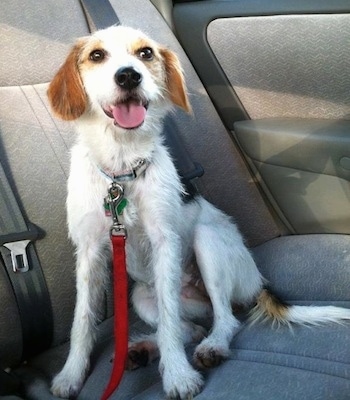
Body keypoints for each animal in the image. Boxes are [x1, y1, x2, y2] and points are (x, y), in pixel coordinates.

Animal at [47, 25, 348, 400]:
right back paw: (143, 349)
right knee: (190, 327)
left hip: (208, 244)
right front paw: (71, 374)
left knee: (222, 320)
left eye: (146, 53)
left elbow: (170, 323)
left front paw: (178, 375)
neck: (121, 171)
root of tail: (259, 283)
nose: (129, 76)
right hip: (141, 296)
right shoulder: (89, 251)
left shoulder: (164, 242)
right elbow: (83, 320)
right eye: (97, 55)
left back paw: (211, 346)